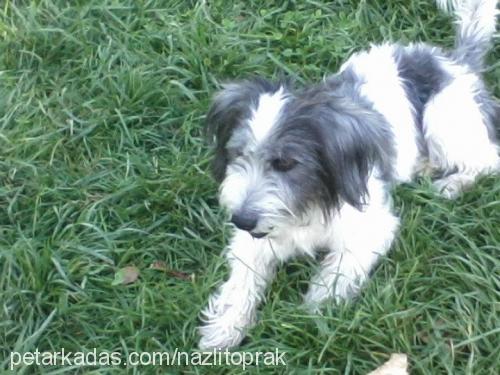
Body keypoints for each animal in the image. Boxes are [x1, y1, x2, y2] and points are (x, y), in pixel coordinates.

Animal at [197, 0, 498, 350]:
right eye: (238, 155)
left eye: (285, 163)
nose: (241, 219)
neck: (310, 201)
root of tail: (455, 62)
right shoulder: (255, 239)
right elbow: (242, 279)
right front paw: (225, 326)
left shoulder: (371, 227)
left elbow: (337, 271)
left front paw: (315, 313)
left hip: (444, 118)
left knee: (488, 160)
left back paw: (451, 183)